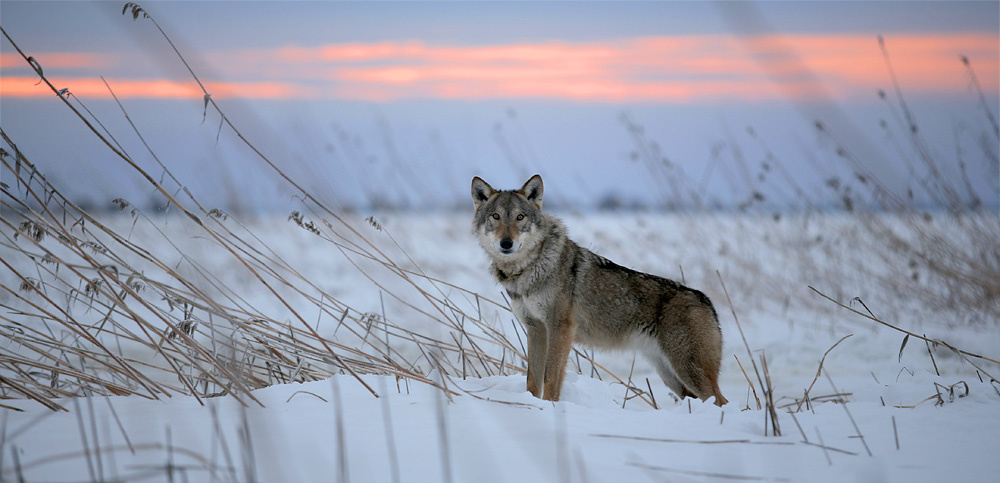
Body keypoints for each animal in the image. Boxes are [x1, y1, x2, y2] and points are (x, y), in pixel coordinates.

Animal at [472, 174, 727, 406]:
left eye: (520, 217)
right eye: (496, 217)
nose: (506, 243)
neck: (527, 270)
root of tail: (706, 300)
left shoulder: (560, 328)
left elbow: (550, 377)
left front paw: (551, 407)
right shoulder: (536, 329)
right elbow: (533, 380)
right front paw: (534, 405)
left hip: (687, 371)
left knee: (721, 400)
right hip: (671, 376)